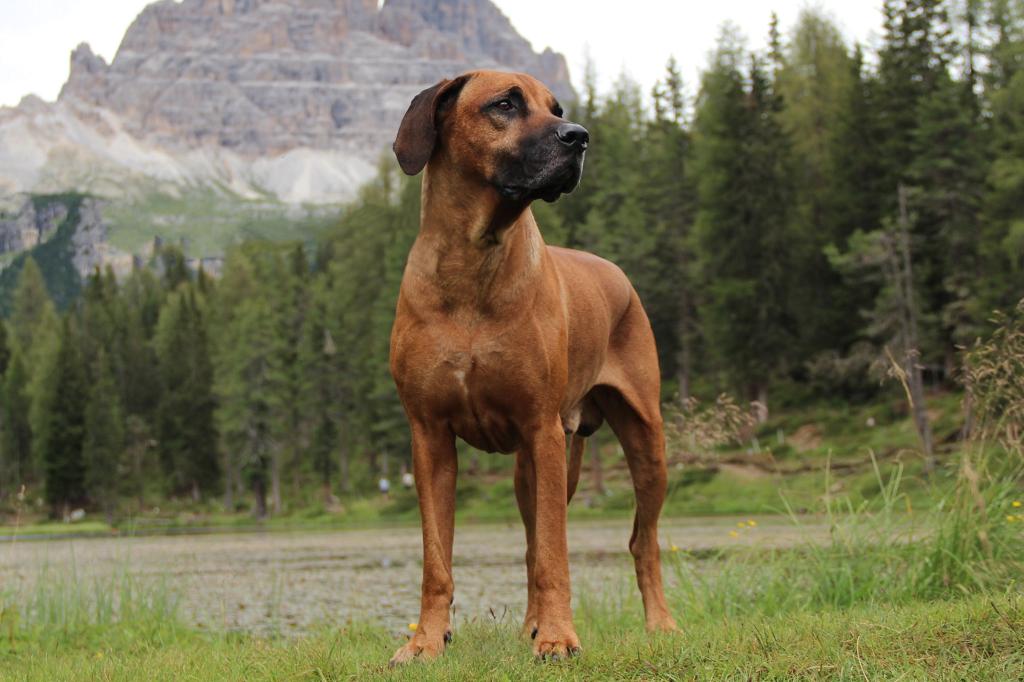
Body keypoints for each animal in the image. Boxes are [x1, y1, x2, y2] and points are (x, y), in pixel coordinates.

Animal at [387, 71, 675, 659]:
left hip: (643, 438)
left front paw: (560, 638)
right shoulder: (429, 436)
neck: (473, 260)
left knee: (642, 540)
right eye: (504, 104)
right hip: (529, 468)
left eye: (556, 109)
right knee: (529, 543)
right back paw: (530, 627)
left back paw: (658, 624)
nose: (580, 136)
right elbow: (437, 560)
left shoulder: (542, 429)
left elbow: (554, 554)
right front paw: (426, 641)